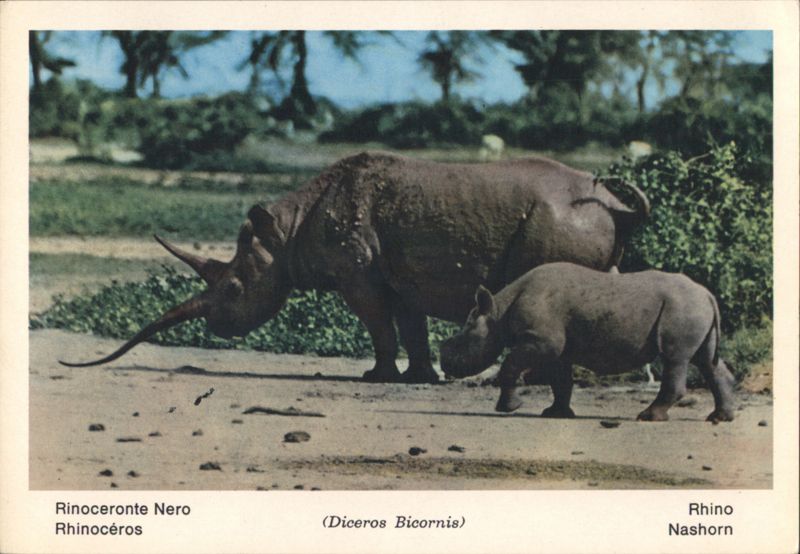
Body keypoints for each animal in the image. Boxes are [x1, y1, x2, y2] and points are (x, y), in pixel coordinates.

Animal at [61, 152, 649, 383]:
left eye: (232, 288)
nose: (216, 328)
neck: (287, 231)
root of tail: (612, 203)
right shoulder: (400, 273)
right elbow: (409, 324)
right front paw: (420, 379)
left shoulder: (357, 275)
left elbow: (377, 324)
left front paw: (377, 376)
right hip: (579, 221)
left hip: (563, 221)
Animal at [439, 262, 736, 423]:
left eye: (461, 343)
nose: (445, 366)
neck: (498, 310)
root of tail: (707, 293)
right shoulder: (556, 347)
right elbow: (561, 381)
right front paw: (555, 413)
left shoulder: (542, 339)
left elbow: (510, 365)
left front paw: (509, 408)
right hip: (692, 307)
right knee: (706, 360)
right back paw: (719, 418)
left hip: (682, 308)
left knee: (676, 359)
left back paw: (647, 417)